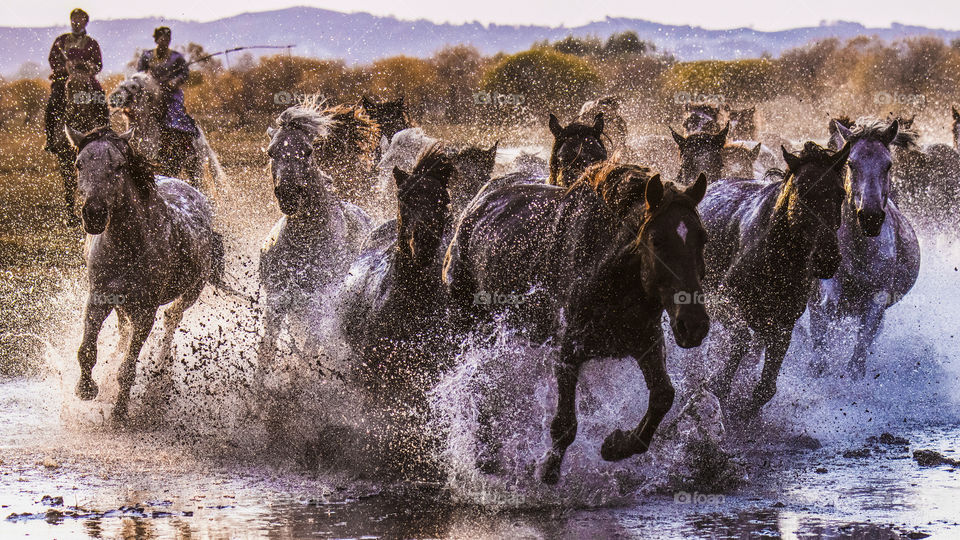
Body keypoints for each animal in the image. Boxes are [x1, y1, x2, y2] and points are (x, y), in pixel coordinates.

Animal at [67, 125, 221, 422]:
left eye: (118, 166)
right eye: (79, 164)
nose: (94, 214)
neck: (128, 244)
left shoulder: (146, 311)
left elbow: (128, 368)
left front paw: (120, 413)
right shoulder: (98, 298)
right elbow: (87, 350)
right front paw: (86, 388)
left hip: (192, 290)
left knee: (172, 319)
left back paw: (160, 374)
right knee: (123, 328)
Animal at [260, 97, 374, 368]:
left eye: (309, 151)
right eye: (271, 152)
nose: (289, 194)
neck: (305, 242)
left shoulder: (318, 307)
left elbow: (308, 356)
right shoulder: (277, 302)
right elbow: (266, 354)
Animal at [444, 162, 712, 484]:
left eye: (703, 238)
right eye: (656, 240)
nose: (693, 325)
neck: (607, 275)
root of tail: (477, 204)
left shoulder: (645, 340)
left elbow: (663, 396)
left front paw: (616, 445)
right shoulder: (568, 351)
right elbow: (565, 423)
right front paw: (548, 470)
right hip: (470, 325)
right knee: (477, 384)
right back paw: (484, 454)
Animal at [700, 142, 852, 418]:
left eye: (840, 193)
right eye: (803, 191)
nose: (827, 259)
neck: (777, 258)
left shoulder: (782, 324)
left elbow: (766, 388)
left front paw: (745, 411)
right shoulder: (719, 299)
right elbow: (740, 338)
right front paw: (718, 383)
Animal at [808, 119, 924, 378]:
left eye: (888, 165)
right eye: (851, 164)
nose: (870, 217)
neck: (857, 252)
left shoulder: (876, 299)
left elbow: (862, 344)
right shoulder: (826, 286)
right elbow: (828, 309)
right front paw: (820, 365)